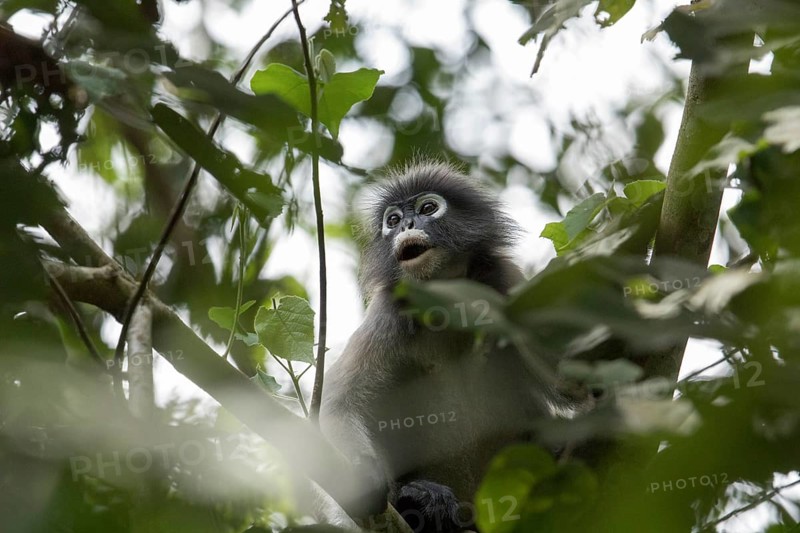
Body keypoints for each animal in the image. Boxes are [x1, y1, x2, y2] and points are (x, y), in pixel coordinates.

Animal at [320, 162, 557, 532]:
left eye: (428, 208)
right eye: (392, 220)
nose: (406, 224)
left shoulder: (505, 282)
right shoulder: (389, 312)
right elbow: (339, 402)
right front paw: (365, 474)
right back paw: (419, 500)